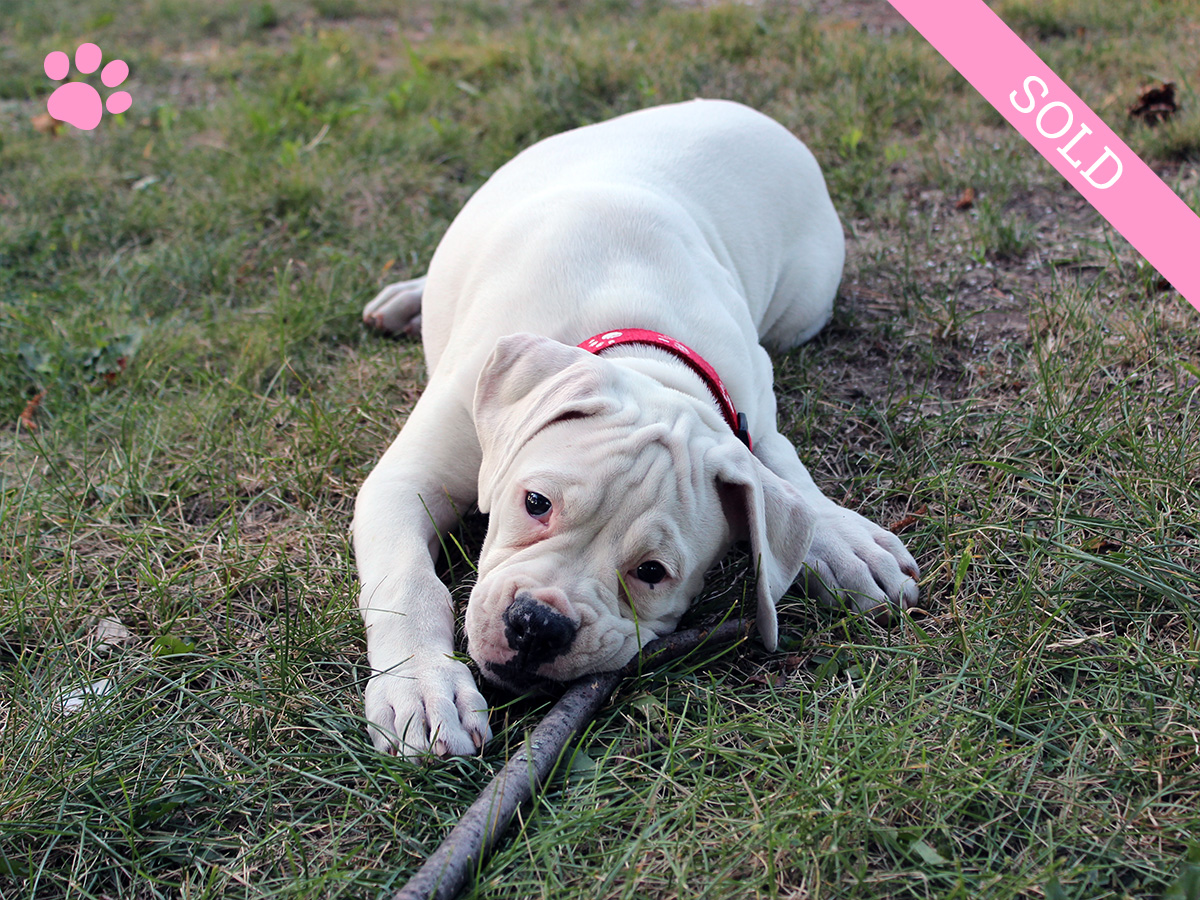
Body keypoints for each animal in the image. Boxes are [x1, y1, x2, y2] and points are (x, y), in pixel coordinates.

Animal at [352, 100, 916, 763]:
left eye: (652, 573)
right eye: (535, 503)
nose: (538, 625)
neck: (641, 350)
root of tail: (753, 114)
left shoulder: (751, 417)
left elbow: (787, 475)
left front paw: (845, 543)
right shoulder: (407, 480)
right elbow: (408, 582)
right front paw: (422, 685)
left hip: (800, 311)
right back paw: (405, 298)